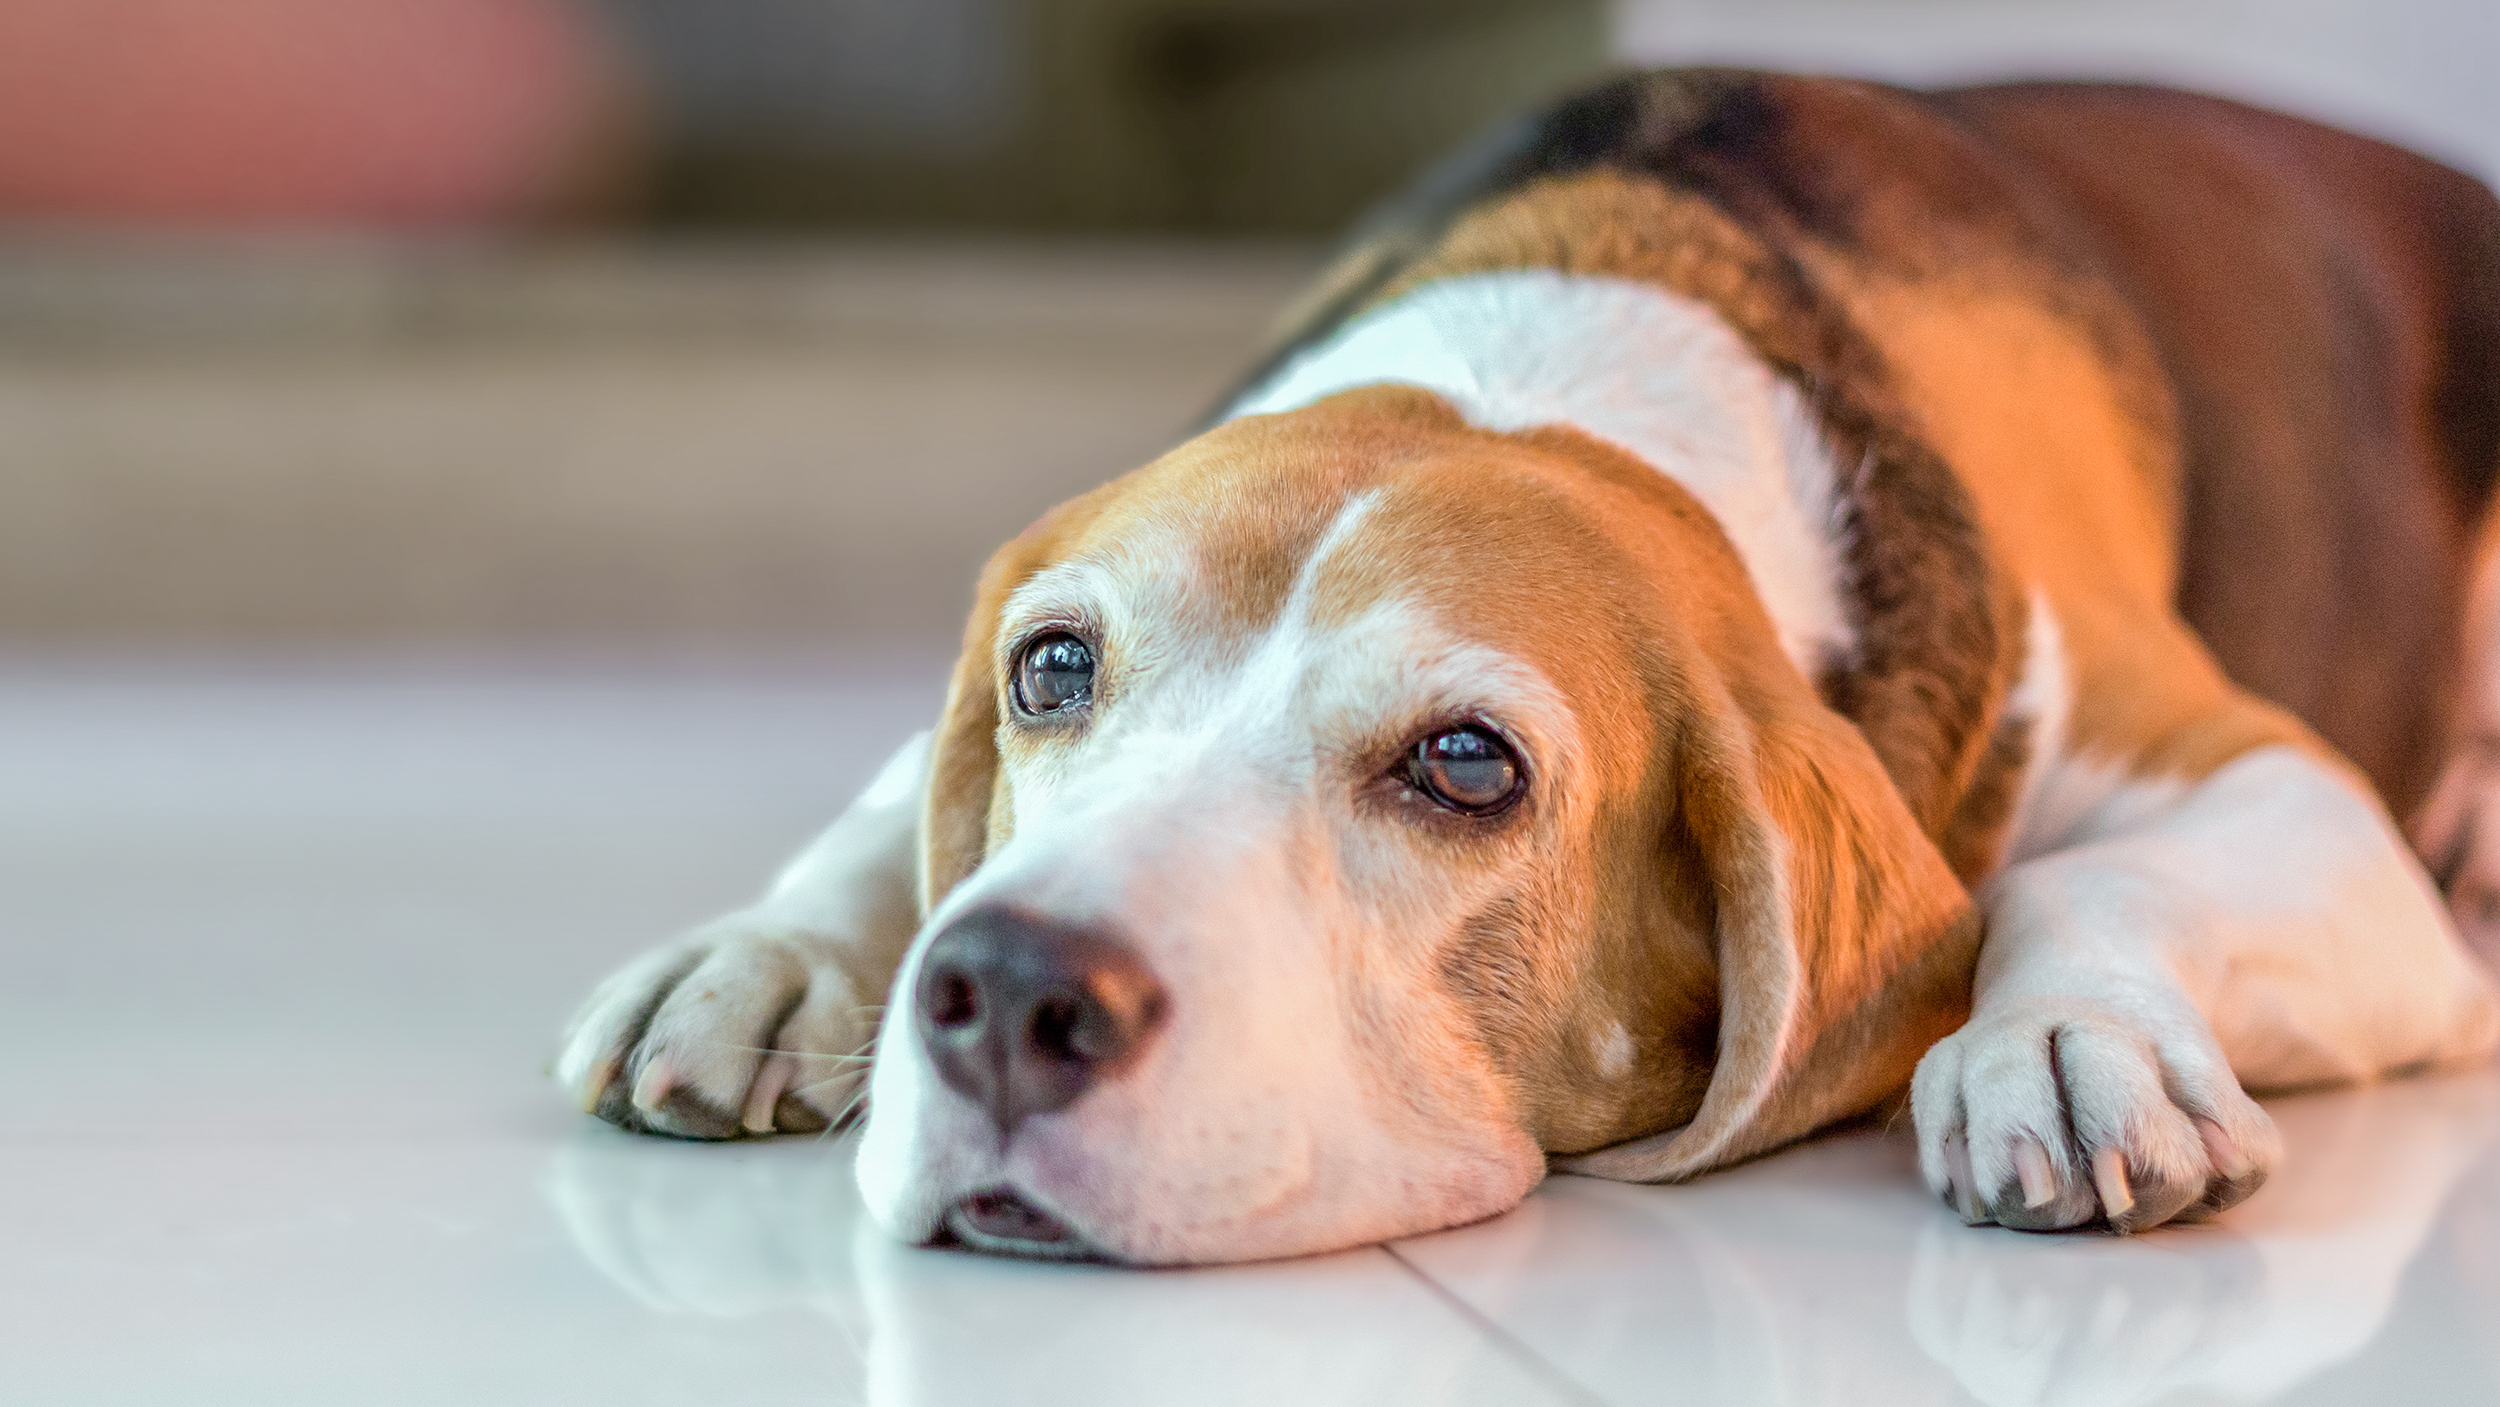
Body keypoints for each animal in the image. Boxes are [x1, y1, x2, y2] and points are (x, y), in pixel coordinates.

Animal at [562, 71, 2500, 1264]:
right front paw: (771, 954)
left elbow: (2091, 872)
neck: (1577, 325)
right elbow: (896, 790)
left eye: (1468, 764)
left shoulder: (2276, 786)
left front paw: (2067, 1034)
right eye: (1051, 666)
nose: (1009, 992)